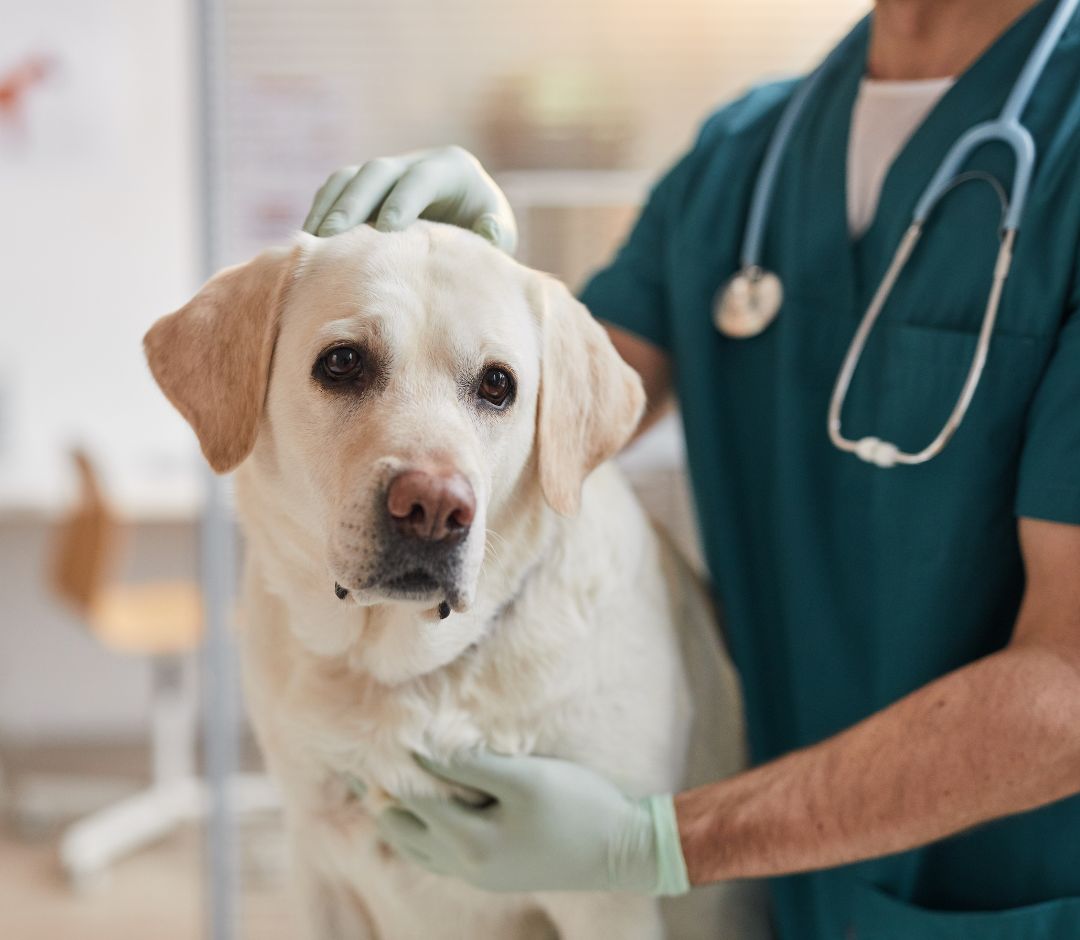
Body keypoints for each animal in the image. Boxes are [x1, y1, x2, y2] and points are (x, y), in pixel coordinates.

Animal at [145, 222, 768, 940]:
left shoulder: (609, 903)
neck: (405, 674)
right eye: (342, 362)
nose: (435, 508)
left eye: (498, 384)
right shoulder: (320, 869)